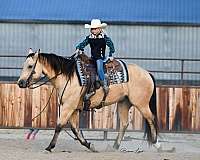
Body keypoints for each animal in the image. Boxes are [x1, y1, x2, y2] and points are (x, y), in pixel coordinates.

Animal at [17, 48, 161, 152]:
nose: (20, 83)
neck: (68, 77)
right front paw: (89, 145)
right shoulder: (74, 109)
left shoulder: (68, 107)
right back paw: (115, 146)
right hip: (124, 103)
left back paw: (157, 144)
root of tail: (147, 73)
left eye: (30, 66)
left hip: (141, 104)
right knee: (124, 124)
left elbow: (59, 125)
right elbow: (75, 129)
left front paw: (50, 146)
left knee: (151, 119)